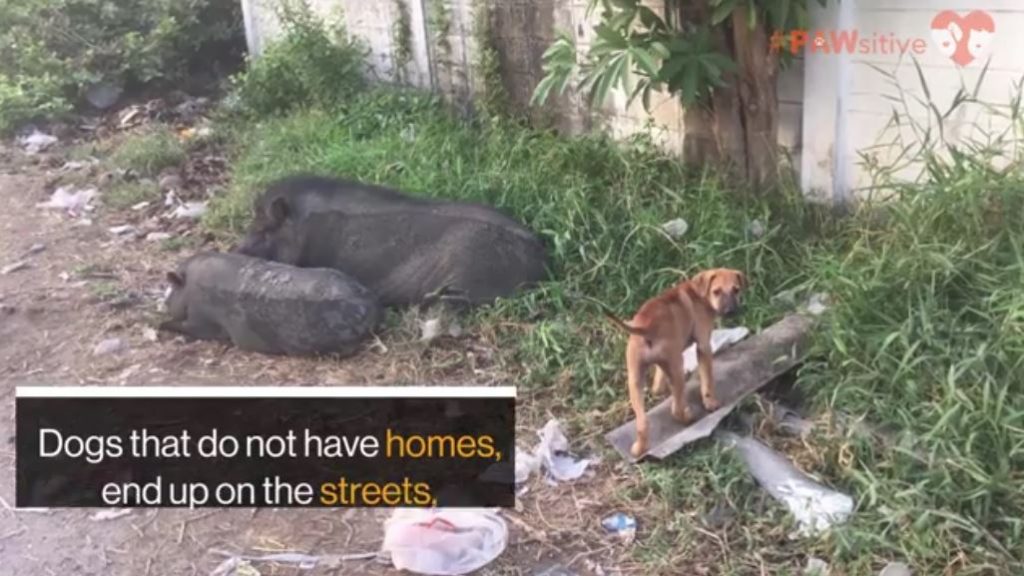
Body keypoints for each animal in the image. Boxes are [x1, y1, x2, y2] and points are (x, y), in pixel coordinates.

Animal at [602, 268, 749, 457]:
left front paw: (660, 387)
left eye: (736, 290)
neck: (698, 294)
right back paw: (688, 417)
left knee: (643, 422)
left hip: (635, 378)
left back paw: (639, 448)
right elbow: (707, 379)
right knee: (676, 409)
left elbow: (658, 380)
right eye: (716, 291)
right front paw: (710, 403)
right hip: (677, 367)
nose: (730, 311)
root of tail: (646, 327)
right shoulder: (704, 346)